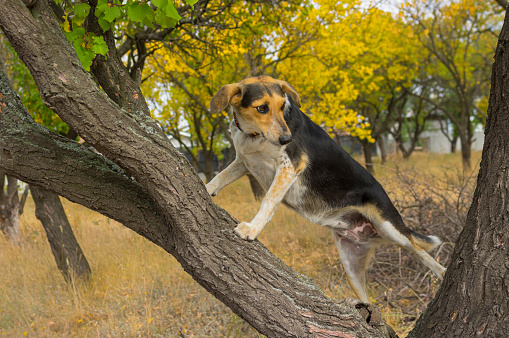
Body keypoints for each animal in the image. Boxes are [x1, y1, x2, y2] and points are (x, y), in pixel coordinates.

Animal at [205, 75, 444, 302]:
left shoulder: (288, 168)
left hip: (391, 230)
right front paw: (207, 189)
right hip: (352, 270)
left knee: (422, 253)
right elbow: (219, 177)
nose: (287, 138)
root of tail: (373, 236)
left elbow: (268, 201)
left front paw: (252, 229)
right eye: (262, 108)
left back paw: (441, 275)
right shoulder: (243, 162)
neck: (253, 136)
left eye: (282, 106)